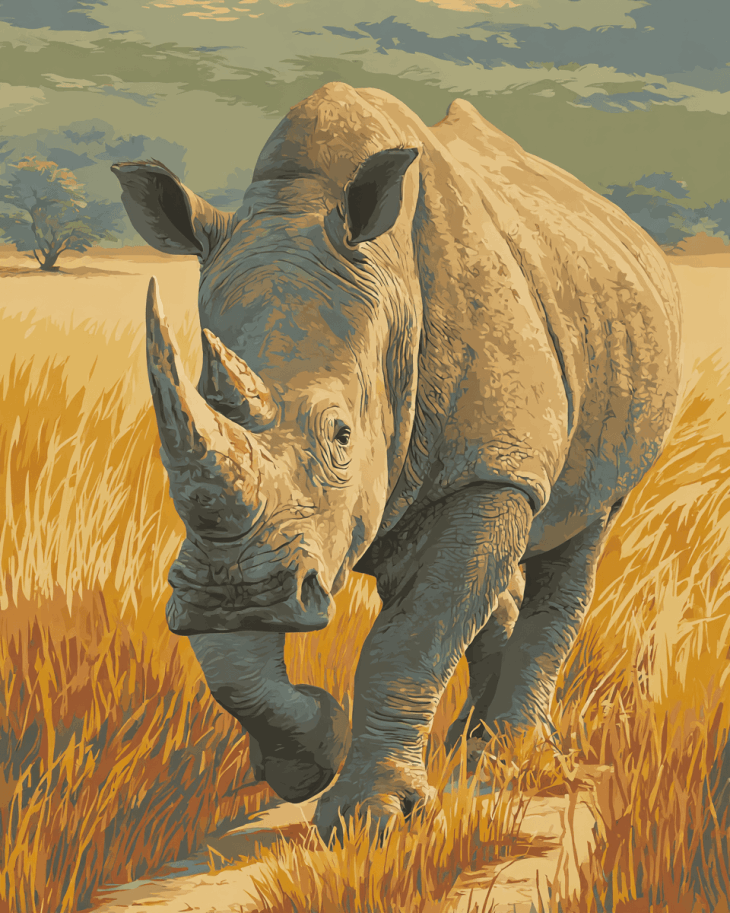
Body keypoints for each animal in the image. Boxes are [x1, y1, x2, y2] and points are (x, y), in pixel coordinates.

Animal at [112, 82, 681, 838]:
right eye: (191, 406)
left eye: (341, 435)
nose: (237, 594)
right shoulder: (232, 546)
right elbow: (235, 663)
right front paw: (311, 755)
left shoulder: (490, 470)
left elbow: (411, 637)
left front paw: (372, 818)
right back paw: (472, 740)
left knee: (580, 534)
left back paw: (509, 756)